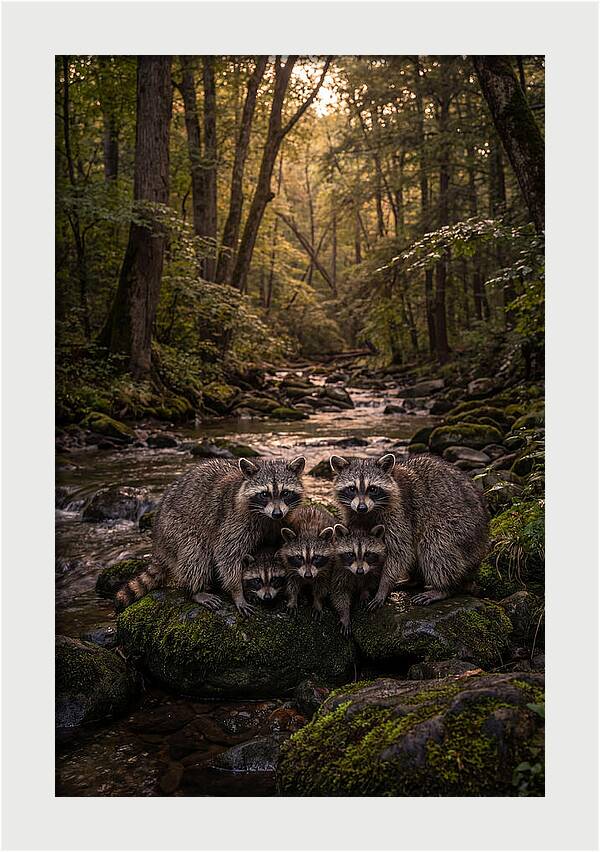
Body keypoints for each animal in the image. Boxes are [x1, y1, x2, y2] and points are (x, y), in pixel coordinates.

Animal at [116, 456, 305, 615]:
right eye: (264, 494)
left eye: (285, 493)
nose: (277, 513)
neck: (266, 517)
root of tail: (157, 540)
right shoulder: (234, 521)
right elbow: (227, 556)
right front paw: (237, 592)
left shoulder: (281, 522)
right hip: (175, 528)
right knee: (195, 553)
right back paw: (196, 590)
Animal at [329, 453, 489, 607]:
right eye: (352, 489)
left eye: (373, 489)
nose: (362, 507)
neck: (368, 512)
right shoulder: (352, 514)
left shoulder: (399, 512)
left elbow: (399, 551)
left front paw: (384, 585)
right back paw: (414, 580)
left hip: (461, 527)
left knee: (435, 545)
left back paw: (443, 588)